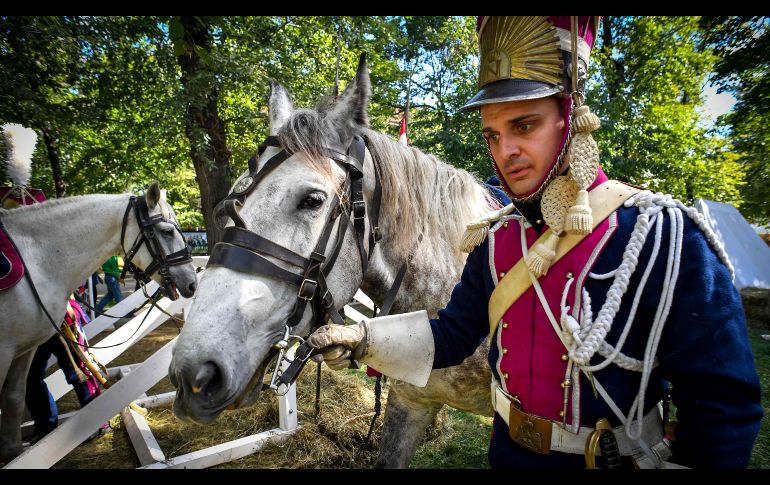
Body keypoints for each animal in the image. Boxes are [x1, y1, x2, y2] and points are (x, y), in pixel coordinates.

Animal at [0, 182, 198, 462]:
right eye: (167, 231)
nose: (192, 283)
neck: (37, 262)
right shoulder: (7, 349)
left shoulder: (23, 349)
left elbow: (14, 398)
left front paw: (13, 452)